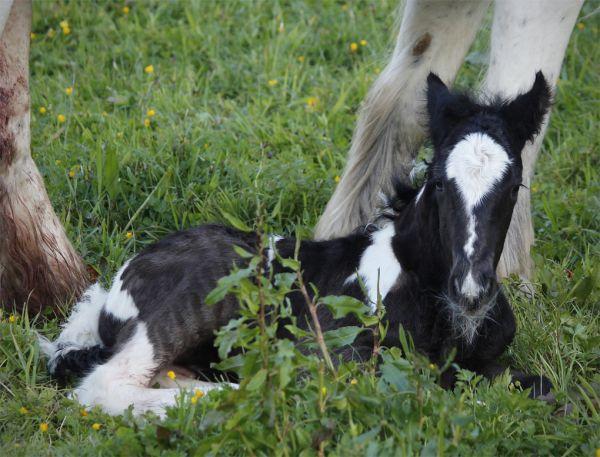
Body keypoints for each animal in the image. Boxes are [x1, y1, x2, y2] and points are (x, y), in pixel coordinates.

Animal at [39, 70, 552, 414]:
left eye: (515, 186)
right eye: (440, 183)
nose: (471, 290)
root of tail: (117, 283)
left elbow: (538, 386)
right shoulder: (336, 354)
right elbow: (409, 384)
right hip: (187, 305)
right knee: (106, 384)